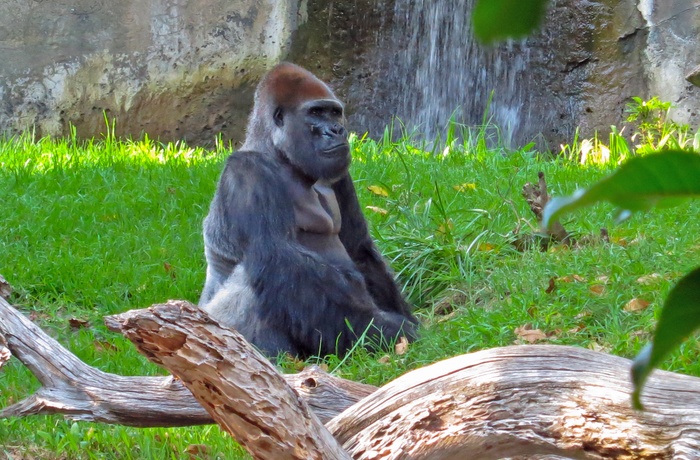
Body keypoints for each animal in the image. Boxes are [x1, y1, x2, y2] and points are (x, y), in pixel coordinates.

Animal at [198, 63, 416, 358]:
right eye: (315, 113)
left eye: (334, 112)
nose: (337, 130)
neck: (280, 156)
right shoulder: (247, 173)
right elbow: (278, 258)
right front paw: (385, 330)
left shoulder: (339, 176)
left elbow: (358, 248)